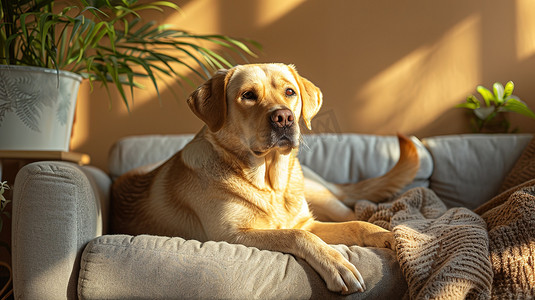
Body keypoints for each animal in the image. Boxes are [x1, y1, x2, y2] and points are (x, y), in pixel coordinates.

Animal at [113, 62, 420, 294]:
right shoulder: (232, 235)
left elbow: (356, 225)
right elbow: (298, 236)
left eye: (290, 92)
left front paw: (387, 235)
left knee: (356, 212)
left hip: (321, 196)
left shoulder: (306, 221)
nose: (284, 118)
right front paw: (338, 265)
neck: (269, 183)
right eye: (248, 95)